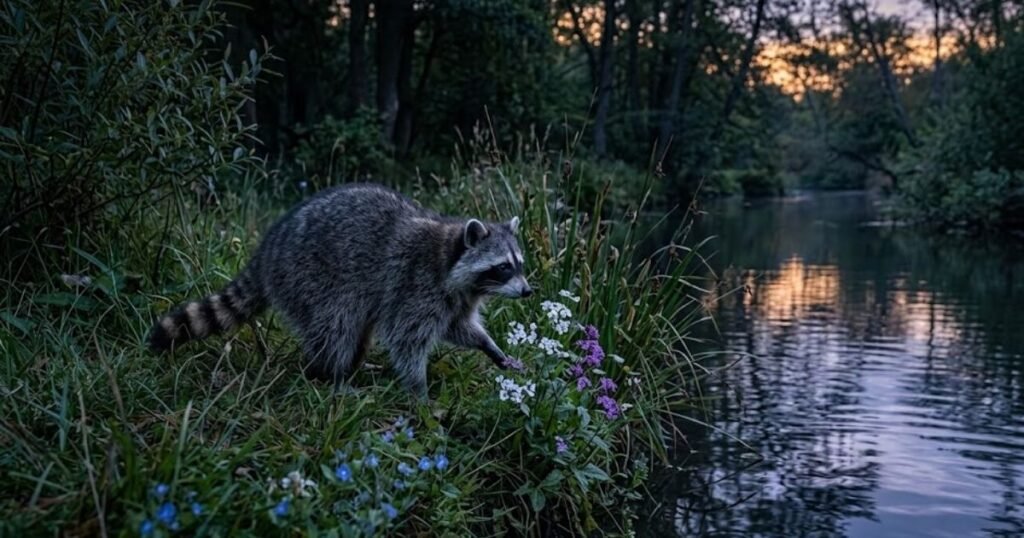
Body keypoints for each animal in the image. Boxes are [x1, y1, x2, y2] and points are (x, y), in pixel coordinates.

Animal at [148, 183, 532, 398]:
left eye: (520, 264)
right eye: (503, 267)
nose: (528, 292)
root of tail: (269, 248)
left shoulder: (455, 299)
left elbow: (459, 328)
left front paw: (489, 346)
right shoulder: (416, 287)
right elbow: (407, 339)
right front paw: (418, 390)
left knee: (355, 332)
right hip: (310, 278)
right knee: (336, 327)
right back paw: (331, 375)